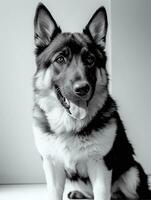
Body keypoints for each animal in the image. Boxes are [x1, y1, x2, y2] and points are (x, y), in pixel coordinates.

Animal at [32, 3, 150, 200]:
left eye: (90, 60)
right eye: (60, 59)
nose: (82, 89)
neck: (70, 125)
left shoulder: (100, 166)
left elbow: (101, 193)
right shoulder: (52, 166)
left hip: (132, 174)